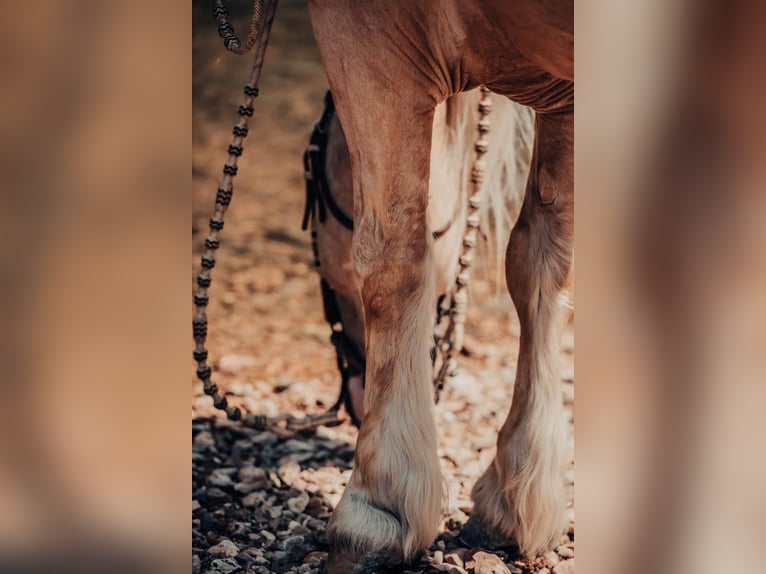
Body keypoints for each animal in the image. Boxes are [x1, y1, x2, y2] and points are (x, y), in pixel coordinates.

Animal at [304, 0, 572, 572]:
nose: (355, 399)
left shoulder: (368, 46)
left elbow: (392, 257)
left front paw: (378, 508)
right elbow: (541, 257)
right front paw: (517, 495)